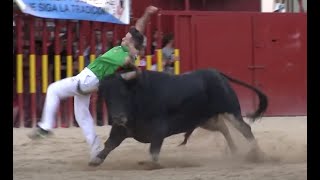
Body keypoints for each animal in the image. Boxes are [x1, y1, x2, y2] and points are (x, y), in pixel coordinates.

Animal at [80, 68, 268, 167]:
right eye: (106, 97)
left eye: (124, 93)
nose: (118, 117)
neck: (138, 97)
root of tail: (217, 74)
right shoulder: (121, 129)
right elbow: (109, 144)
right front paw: (95, 160)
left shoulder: (158, 130)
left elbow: (153, 152)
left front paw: (151, 164)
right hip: (205, 119)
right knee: (223, 128)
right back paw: (235, 152)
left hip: (230, 111)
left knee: (244, 128)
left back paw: (256, 154)